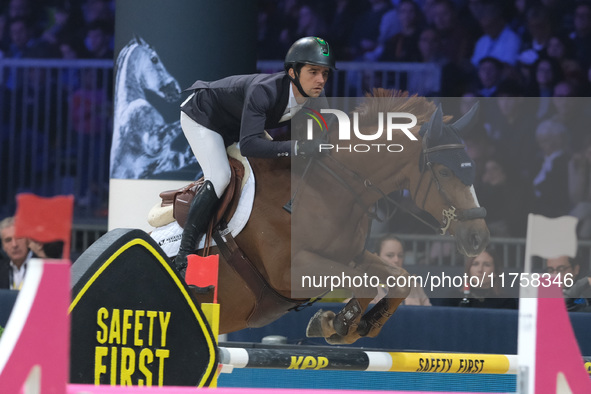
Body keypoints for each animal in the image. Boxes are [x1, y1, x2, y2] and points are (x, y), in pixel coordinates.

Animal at [160, 90, 488, 344]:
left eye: (471, 167)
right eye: (444, 172)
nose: (478, 238)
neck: (329, 188)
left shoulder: (351, 255)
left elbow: (400, 280)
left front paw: (353, 325)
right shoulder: (291, 271)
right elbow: (365, 284)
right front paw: (335, 323)